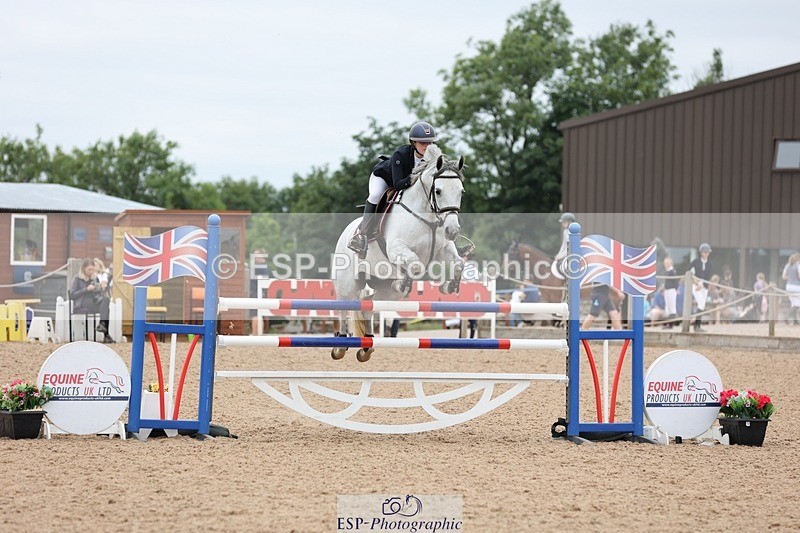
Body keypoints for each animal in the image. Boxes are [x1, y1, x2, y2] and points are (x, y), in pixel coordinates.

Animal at [332, 144, 466, 362]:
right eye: (438, 191)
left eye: (461, 191)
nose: (452, 230)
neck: (427, 216)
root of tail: (346, 233)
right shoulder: (396, 248)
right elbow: (415, 264)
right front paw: (404, 282)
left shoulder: (443, 250)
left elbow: (459, 263)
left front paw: (449, 286)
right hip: (348, 283)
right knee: (345, 306)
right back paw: (340, 345)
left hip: (384, 290)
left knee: (367, 305)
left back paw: (366, 347)